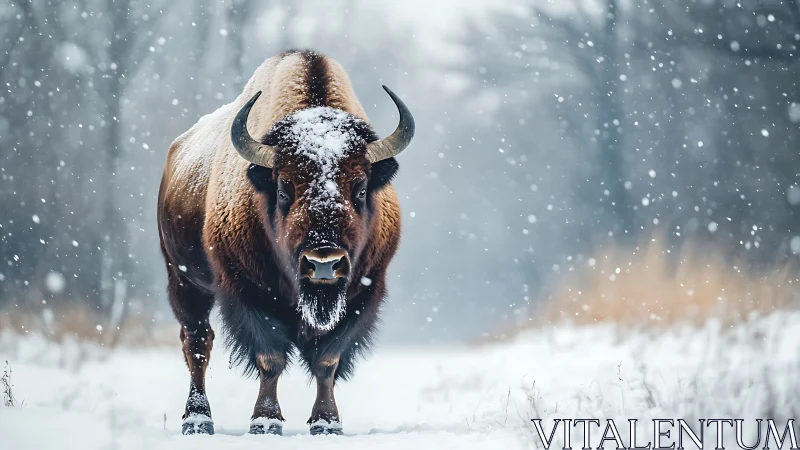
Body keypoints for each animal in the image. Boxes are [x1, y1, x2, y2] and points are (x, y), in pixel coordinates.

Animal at [157, 49, 414, 435]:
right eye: (283, 189)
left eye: (361, 189)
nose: (324, 263)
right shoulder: (246, 289)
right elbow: (270, 357)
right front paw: (265, 421)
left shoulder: (363, 292)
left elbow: (327, 359)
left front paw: (326, 423)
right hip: (183, 280)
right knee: (197, 342)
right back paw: (197, 420)